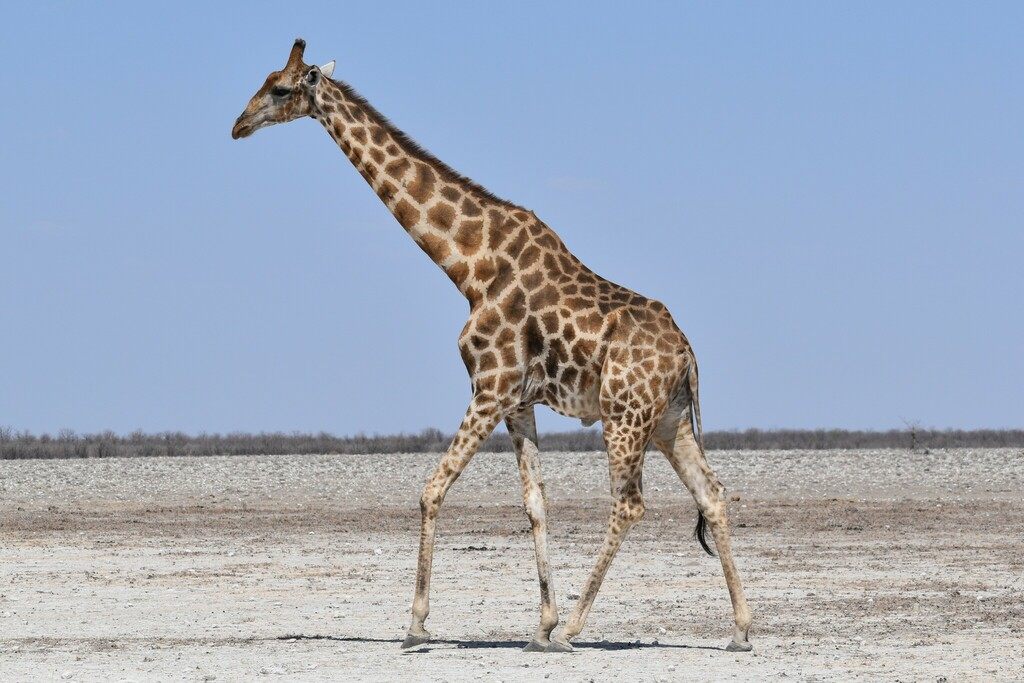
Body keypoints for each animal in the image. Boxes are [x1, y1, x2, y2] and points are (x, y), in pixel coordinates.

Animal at [232, 39, 753, 653]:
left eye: (280, 88)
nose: (239, 125)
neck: (469, 265)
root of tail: (687, 353)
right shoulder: (517, 400)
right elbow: (536, 504)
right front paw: (539, 626)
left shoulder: (489, 386)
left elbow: (432, 490)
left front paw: (417, 625)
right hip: (669, 419)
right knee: (713, 494)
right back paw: (741, 629)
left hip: (624, 416)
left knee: (630, 503)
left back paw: (577, 629)